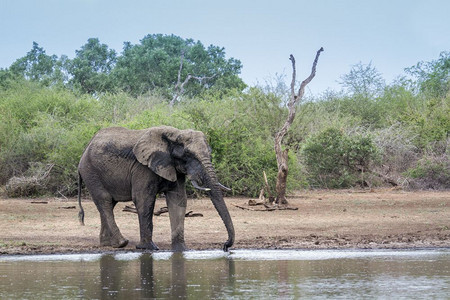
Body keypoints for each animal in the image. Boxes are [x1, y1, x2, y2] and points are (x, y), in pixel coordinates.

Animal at [76, 125, 236, 252]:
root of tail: (85, 149)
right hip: (91, 172)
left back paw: (108, 244)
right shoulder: (142, 167)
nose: (225, 246)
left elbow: (178, 200)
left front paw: (181, 250)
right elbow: (143, 199)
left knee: (109, 204)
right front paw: (149, 248)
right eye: (188, 154)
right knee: (105, 201)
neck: (174, 134)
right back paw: (122, 243)